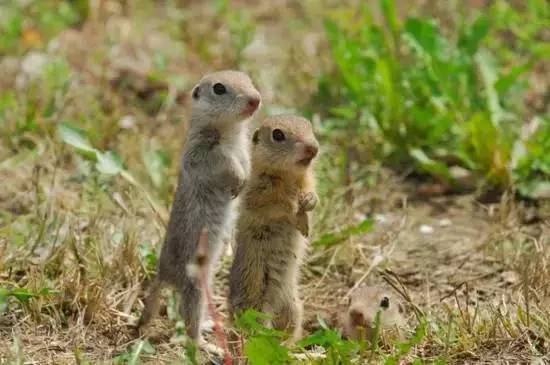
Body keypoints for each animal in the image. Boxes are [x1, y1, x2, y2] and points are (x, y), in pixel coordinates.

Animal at [137, 69, 260, 340]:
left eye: (248, 78)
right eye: (219, 88)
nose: (255, 100)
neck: (230, 129)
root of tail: (163, 274)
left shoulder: (244, 149)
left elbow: (246, 163)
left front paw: (244, 183)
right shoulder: (203, 150)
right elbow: (226, 162)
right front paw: (238, 181)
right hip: (194, 284)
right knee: (189, 322)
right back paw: (204, 342)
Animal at [230, 114, 324, 342]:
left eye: (309, 125)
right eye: (278, 135)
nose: (313, 148)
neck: (287, 174)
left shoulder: (307, 179)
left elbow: (311, 193)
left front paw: (308, 203)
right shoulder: (258, 192)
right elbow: (276, 204)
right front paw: (295, 210)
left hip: (294, 308)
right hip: (258, 307)